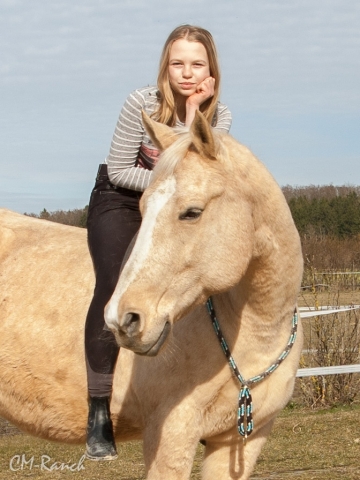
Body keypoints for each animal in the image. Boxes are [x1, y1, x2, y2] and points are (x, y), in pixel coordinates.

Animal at [0, 110, 304, 478]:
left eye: (192, 212)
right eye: (144, 209)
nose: (123, 319)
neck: (255, 333)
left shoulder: (242, 440)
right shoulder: (171, 436)